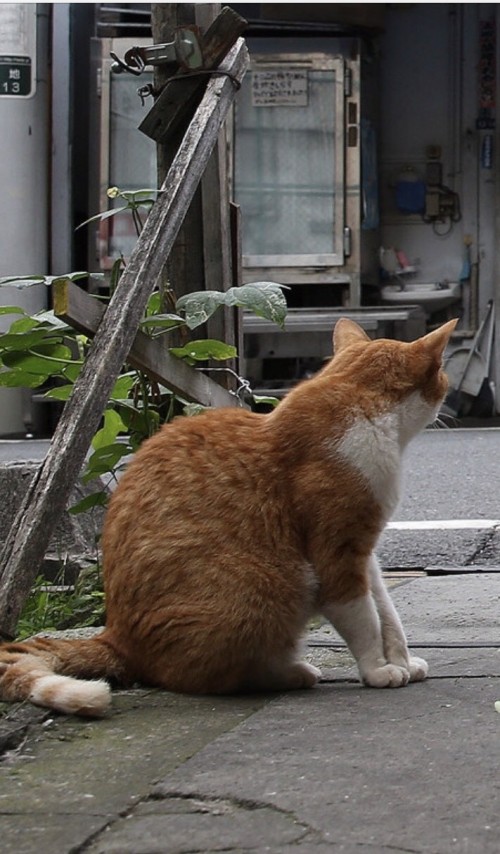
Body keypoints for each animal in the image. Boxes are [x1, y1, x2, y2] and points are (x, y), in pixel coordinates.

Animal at [0, 320, 456, 716]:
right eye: (443, 375)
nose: (450, 397)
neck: (362, 410)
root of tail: (116, 634)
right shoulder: (337, 553)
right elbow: (363, 618)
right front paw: (378, 670)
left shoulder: (366, 546)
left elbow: (387, 613)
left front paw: (402, 660)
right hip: (272, 586)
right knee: (196, 677)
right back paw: (288, 673)